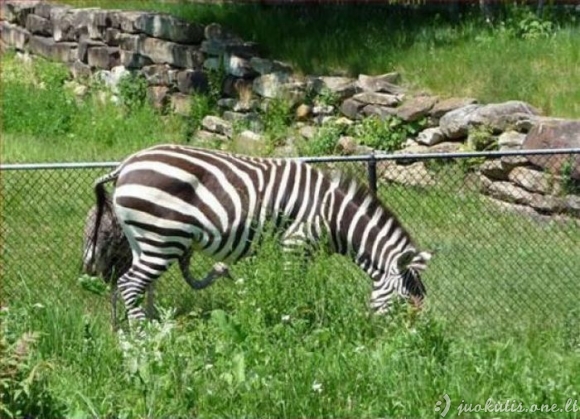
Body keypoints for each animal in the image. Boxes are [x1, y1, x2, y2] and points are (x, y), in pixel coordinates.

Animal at [89, 146, 430, 324]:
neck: (334, 216)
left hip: (144, 239)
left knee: (142, 286)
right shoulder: (296, 241)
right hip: (163, 237)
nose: (413, 342)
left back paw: (155, 330)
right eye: (405, 302)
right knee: (130, 284)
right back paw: (141, 340)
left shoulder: (301, 249)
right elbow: (293, 285)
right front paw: (294, 319)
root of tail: (126, 165)